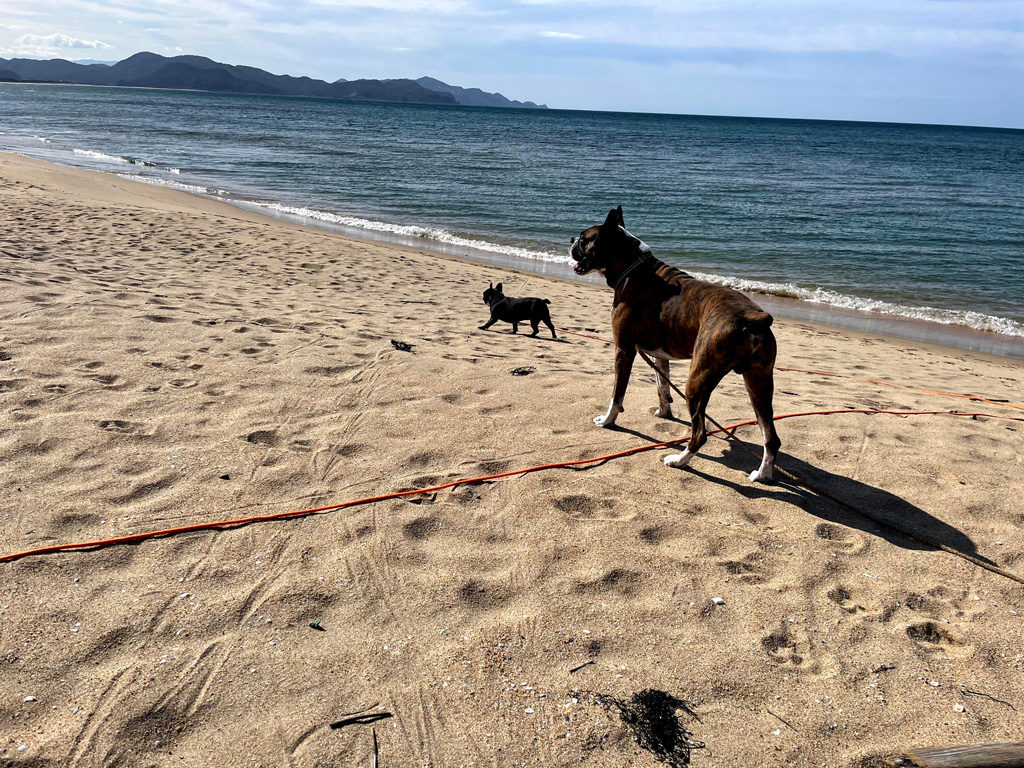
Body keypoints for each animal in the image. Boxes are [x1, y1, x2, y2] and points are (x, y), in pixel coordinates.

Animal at [573, 204, 778, 481]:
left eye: (584, 239)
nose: (571, 240)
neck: (633, 267)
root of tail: (753, 317)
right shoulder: (659, 355)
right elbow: (662, 386)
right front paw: (664, 413)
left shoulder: (623, 350)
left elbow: (617, 394)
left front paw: (607, 421)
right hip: (759, 384)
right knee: (771, 437)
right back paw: (762, 474)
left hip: (699, 380)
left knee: (700, 433)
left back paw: (679, 460)